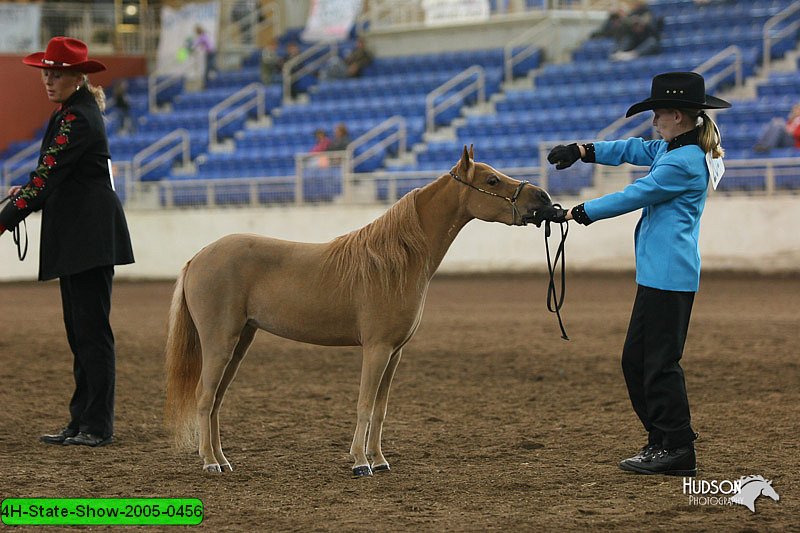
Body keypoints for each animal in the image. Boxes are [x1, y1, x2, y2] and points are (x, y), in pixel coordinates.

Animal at [162, 145, 552, 474]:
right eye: (492, 180)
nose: (543, 197)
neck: (396, 261)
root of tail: (198, 258)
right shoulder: (376, 349)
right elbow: (365, 405)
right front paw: (361, 462)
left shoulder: (394, 353)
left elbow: (380, 410)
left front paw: (379, 460)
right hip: (220, 342)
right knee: (204, 397)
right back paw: (210, 463)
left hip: (240, 342)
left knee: (216, 400)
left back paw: (223, 460)